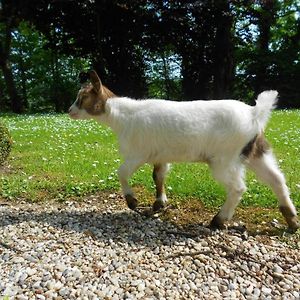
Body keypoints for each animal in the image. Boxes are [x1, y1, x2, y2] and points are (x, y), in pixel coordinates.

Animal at [69, 70, 298, 232]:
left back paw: (218, 220)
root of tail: (254, 114)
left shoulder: (138, 153)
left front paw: (132, 201)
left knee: (238, 188)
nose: (69, 111)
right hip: (256, 152)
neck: (122, 116)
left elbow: (122, 172)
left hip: (225, 158)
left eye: (82, 98)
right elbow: (158, 176)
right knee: (277, 179)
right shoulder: (160, 155)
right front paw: (159, 203)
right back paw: (292, 220)